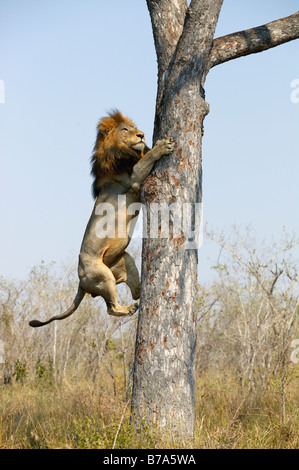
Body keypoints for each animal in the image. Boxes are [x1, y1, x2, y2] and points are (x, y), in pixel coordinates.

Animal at [29, 110, 175, 326]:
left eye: (134, 128)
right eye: (126, 129)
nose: (141, 135)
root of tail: (81, 282)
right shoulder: (132, 179)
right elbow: (147, 158)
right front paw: (162, 146)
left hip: (124, 261)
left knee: (135, 292)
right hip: (102, 275)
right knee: (111, 308)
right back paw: (129, 309)